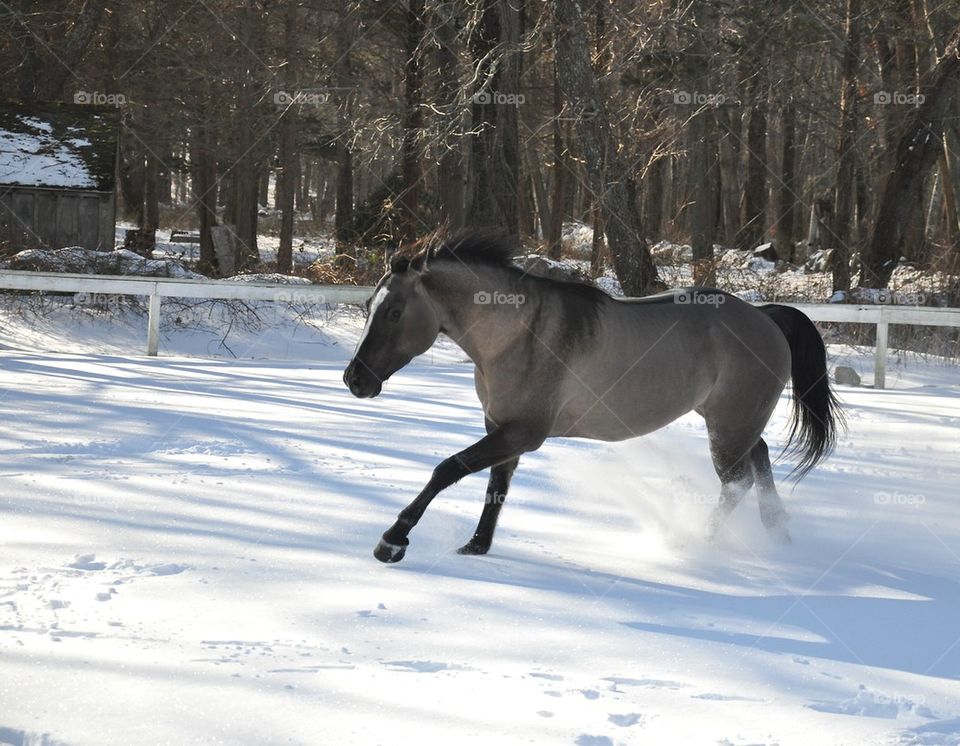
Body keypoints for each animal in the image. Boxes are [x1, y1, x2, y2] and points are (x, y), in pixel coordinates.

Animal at [344, 235, 840, 560]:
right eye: (369, 306)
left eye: (394, 312)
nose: (355, 380)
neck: (519, 335)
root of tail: (765, 317)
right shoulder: (502, 430)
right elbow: (496, 486)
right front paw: (476, 546)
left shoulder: (522, 432)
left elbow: (448, 469)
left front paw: (392, 541)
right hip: (734, 423)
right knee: (760, 459)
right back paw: (778, 533)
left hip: (729, 427)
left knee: (737, 482)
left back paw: (703, 542)